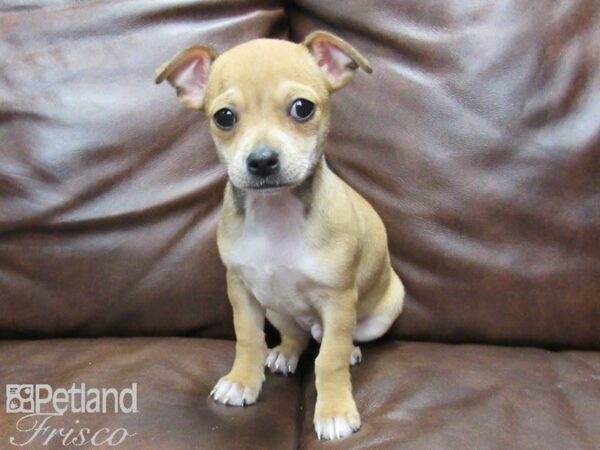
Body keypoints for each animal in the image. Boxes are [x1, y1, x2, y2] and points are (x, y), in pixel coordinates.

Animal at [157, 32, 406, 442]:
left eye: (302, 109)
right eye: (224, 117)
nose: (261, 161)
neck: (275, 213)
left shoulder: (338, 301)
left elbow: (330, 359)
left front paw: (334, 410)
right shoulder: (241, 289)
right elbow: (248, 338)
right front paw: (243, 380)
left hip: (382, 312)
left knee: (333, 341)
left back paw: (351, 350)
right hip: (274, 307)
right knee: (297, 335)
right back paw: (285, 352)